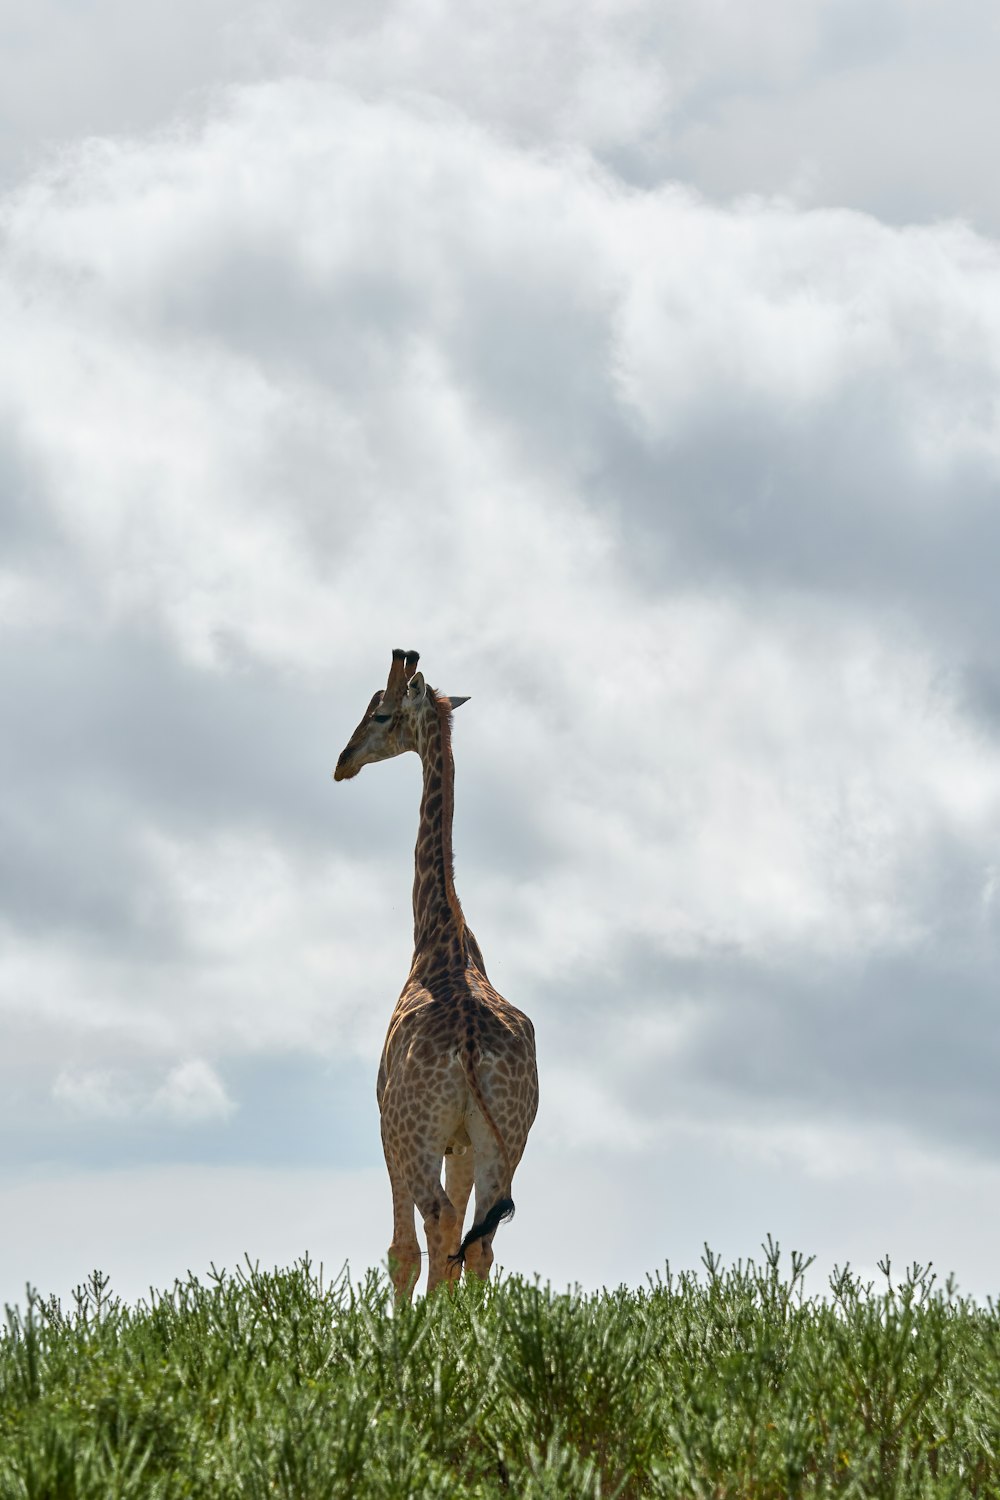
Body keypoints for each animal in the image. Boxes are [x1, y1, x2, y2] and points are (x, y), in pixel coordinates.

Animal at [334, 645, 539, 1302]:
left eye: (381, 713)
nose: (343, 762)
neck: (440, 937)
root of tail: (470, 1046)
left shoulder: (389, 1126)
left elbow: (404, 1248)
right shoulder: (466, 1140)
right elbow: (457, 1247)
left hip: (415, 1133)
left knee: (440, 1221)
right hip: (508, 1136)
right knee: (480, 1239)